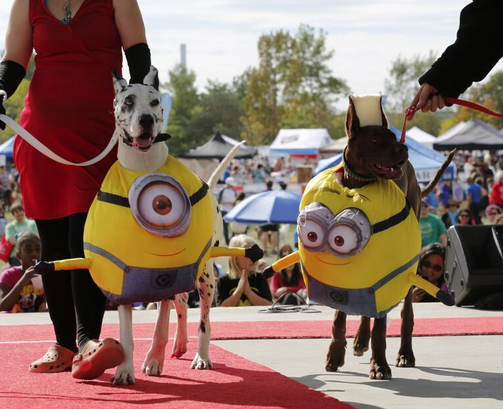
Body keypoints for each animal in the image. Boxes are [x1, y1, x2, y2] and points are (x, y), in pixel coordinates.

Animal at [326, 94, 456, 378]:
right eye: (375, 140)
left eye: (393, 136)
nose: (404, 149)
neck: (360, 185)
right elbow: (340, 316)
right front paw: (335, 354)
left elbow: (381, 325)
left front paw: (379, 365)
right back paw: (360, 340)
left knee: (406, 313)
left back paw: (405, 354)